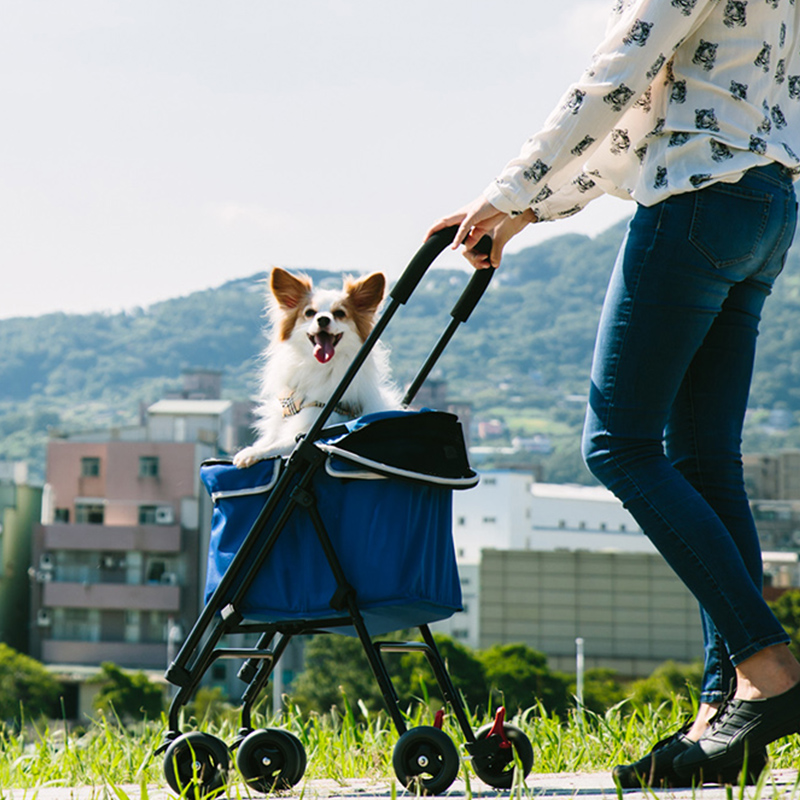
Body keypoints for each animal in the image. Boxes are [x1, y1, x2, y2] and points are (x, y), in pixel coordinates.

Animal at [233, 266, 398, 466]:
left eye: (340, 313)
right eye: (310, 313)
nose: (323, 319)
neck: (317, 366)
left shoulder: (320, 428)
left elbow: (285, 443)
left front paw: (251, 452)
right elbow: (270, 439)